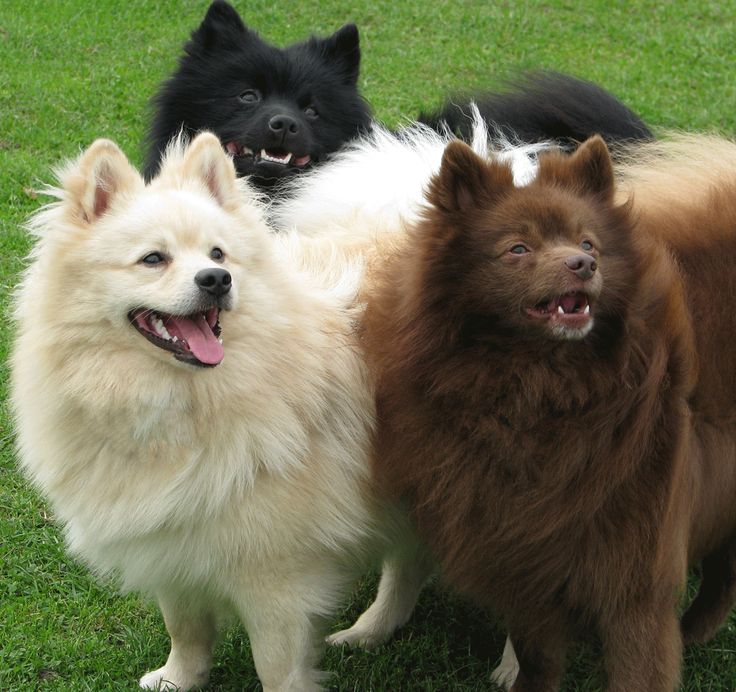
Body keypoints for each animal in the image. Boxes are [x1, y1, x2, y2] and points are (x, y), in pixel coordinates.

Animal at [360, 137, 736, 692]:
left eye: (589, 243)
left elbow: (639, 667)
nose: (582, 264)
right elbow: (535, 659)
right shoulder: (528, 559)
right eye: (519, 248)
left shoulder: (634, 576)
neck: (538, 394)